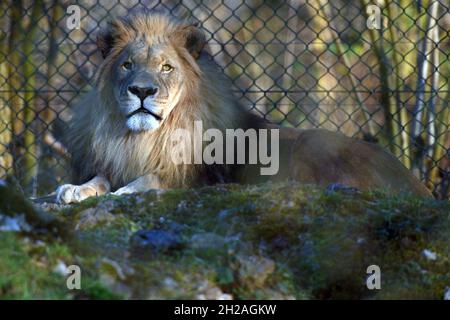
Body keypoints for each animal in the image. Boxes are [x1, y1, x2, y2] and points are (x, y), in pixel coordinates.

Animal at [55, 11, 428, 205]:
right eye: (127, 65)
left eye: (167, 68)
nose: (143, 90)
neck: (145, 138)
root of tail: (413, 179)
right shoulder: (113, 160)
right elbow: (100, 177)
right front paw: (74, 189)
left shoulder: (199, 179)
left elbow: (149, 180)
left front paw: (123, 192)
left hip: (315, 145)